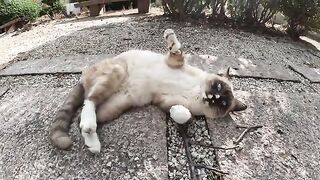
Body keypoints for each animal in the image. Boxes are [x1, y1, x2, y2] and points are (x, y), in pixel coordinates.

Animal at [49, 28, 248, 153]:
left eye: (223, 102)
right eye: (218, 87)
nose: (212, 96)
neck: (197, 91)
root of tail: (83, 77)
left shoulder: (164, 101)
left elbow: (185, 116)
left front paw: (178, 111)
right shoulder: (174, 62)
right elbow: (176, 49)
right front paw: (169, 35)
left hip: (115, 106)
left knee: (81, 118)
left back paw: (93, 143)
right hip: (116, 72)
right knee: (89, 101)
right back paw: (91, 129)